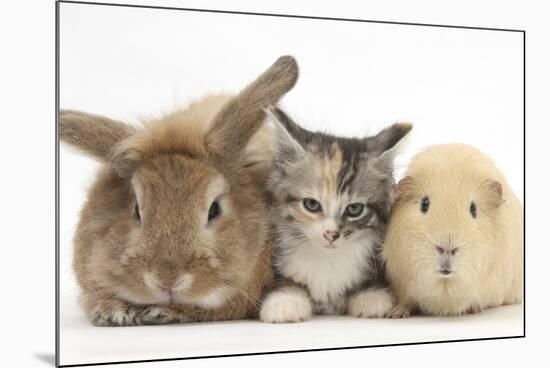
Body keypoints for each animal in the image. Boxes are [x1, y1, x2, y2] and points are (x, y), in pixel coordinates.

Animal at [260, 106, 412, 322]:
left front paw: (371, 296)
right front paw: (285, 302)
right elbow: (285, 280)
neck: (327, 258)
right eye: (312, 204)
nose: (331, 234)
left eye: (354, 209)